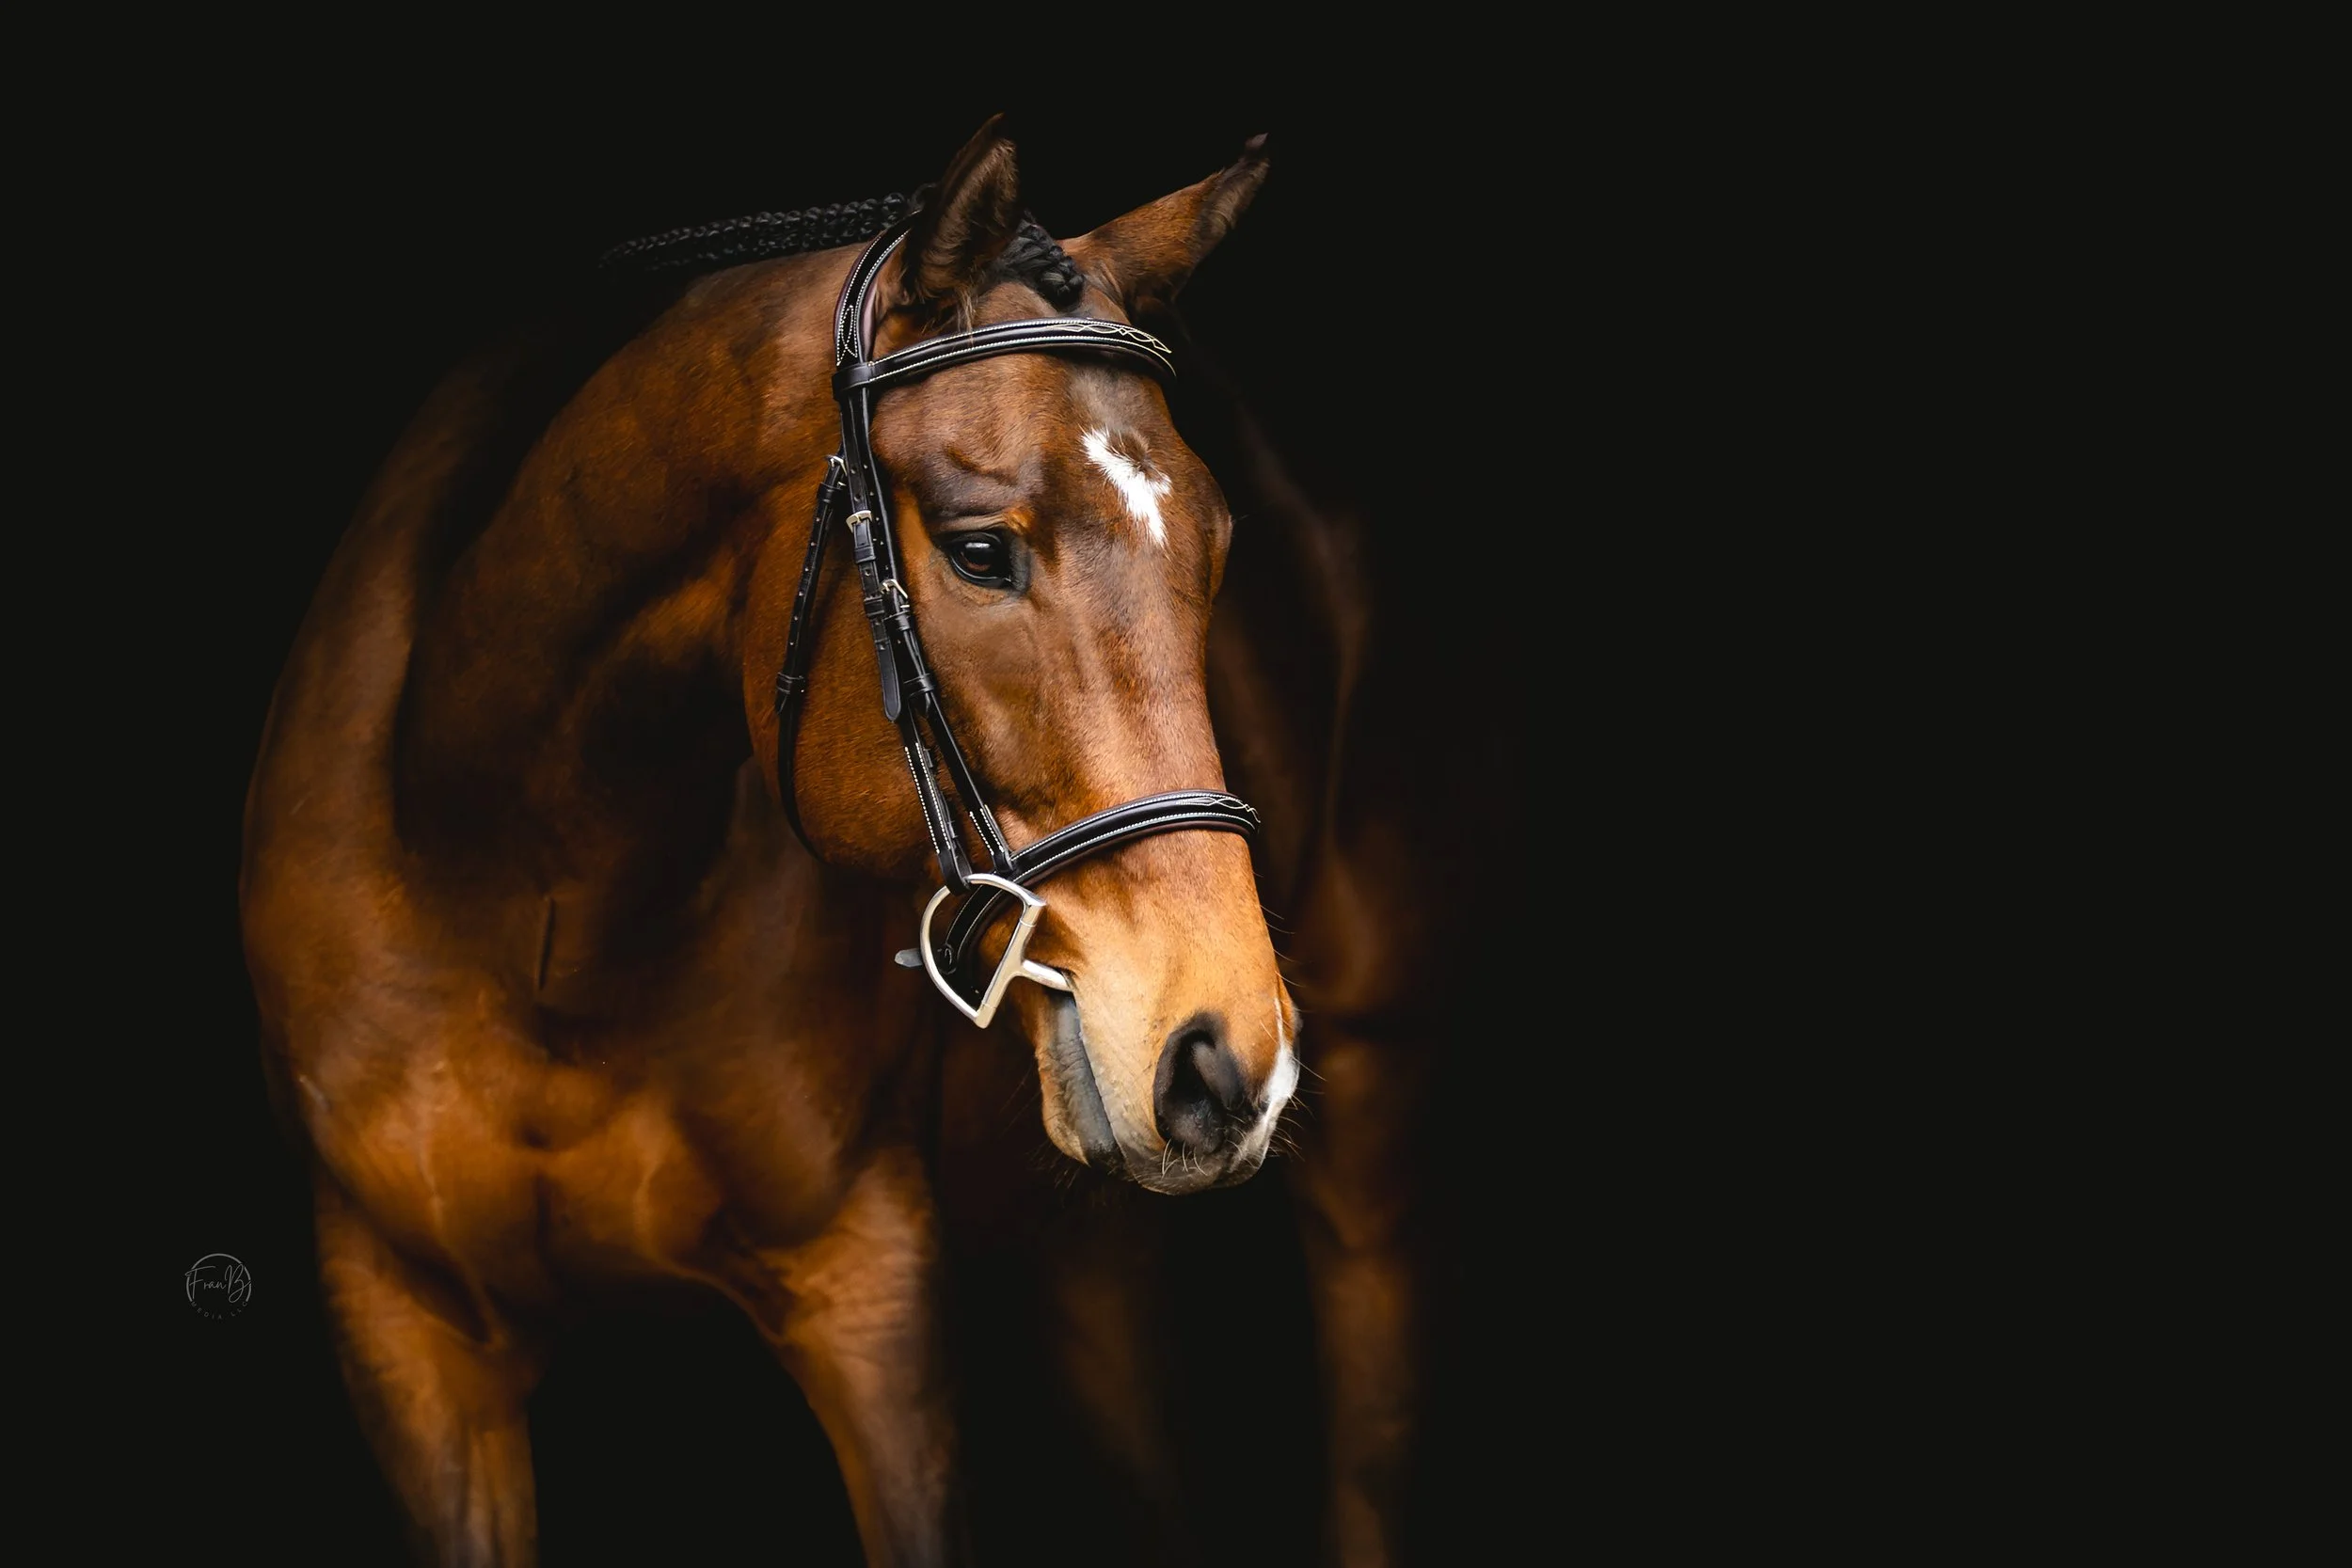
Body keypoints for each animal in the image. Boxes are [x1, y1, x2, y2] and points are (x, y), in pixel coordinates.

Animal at [241, 120, 1294, 1565]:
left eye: (1216, 545)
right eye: (978, 550)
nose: (1230, 1055)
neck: (535, 898)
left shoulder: (871, 1299)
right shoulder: (408, 1330)